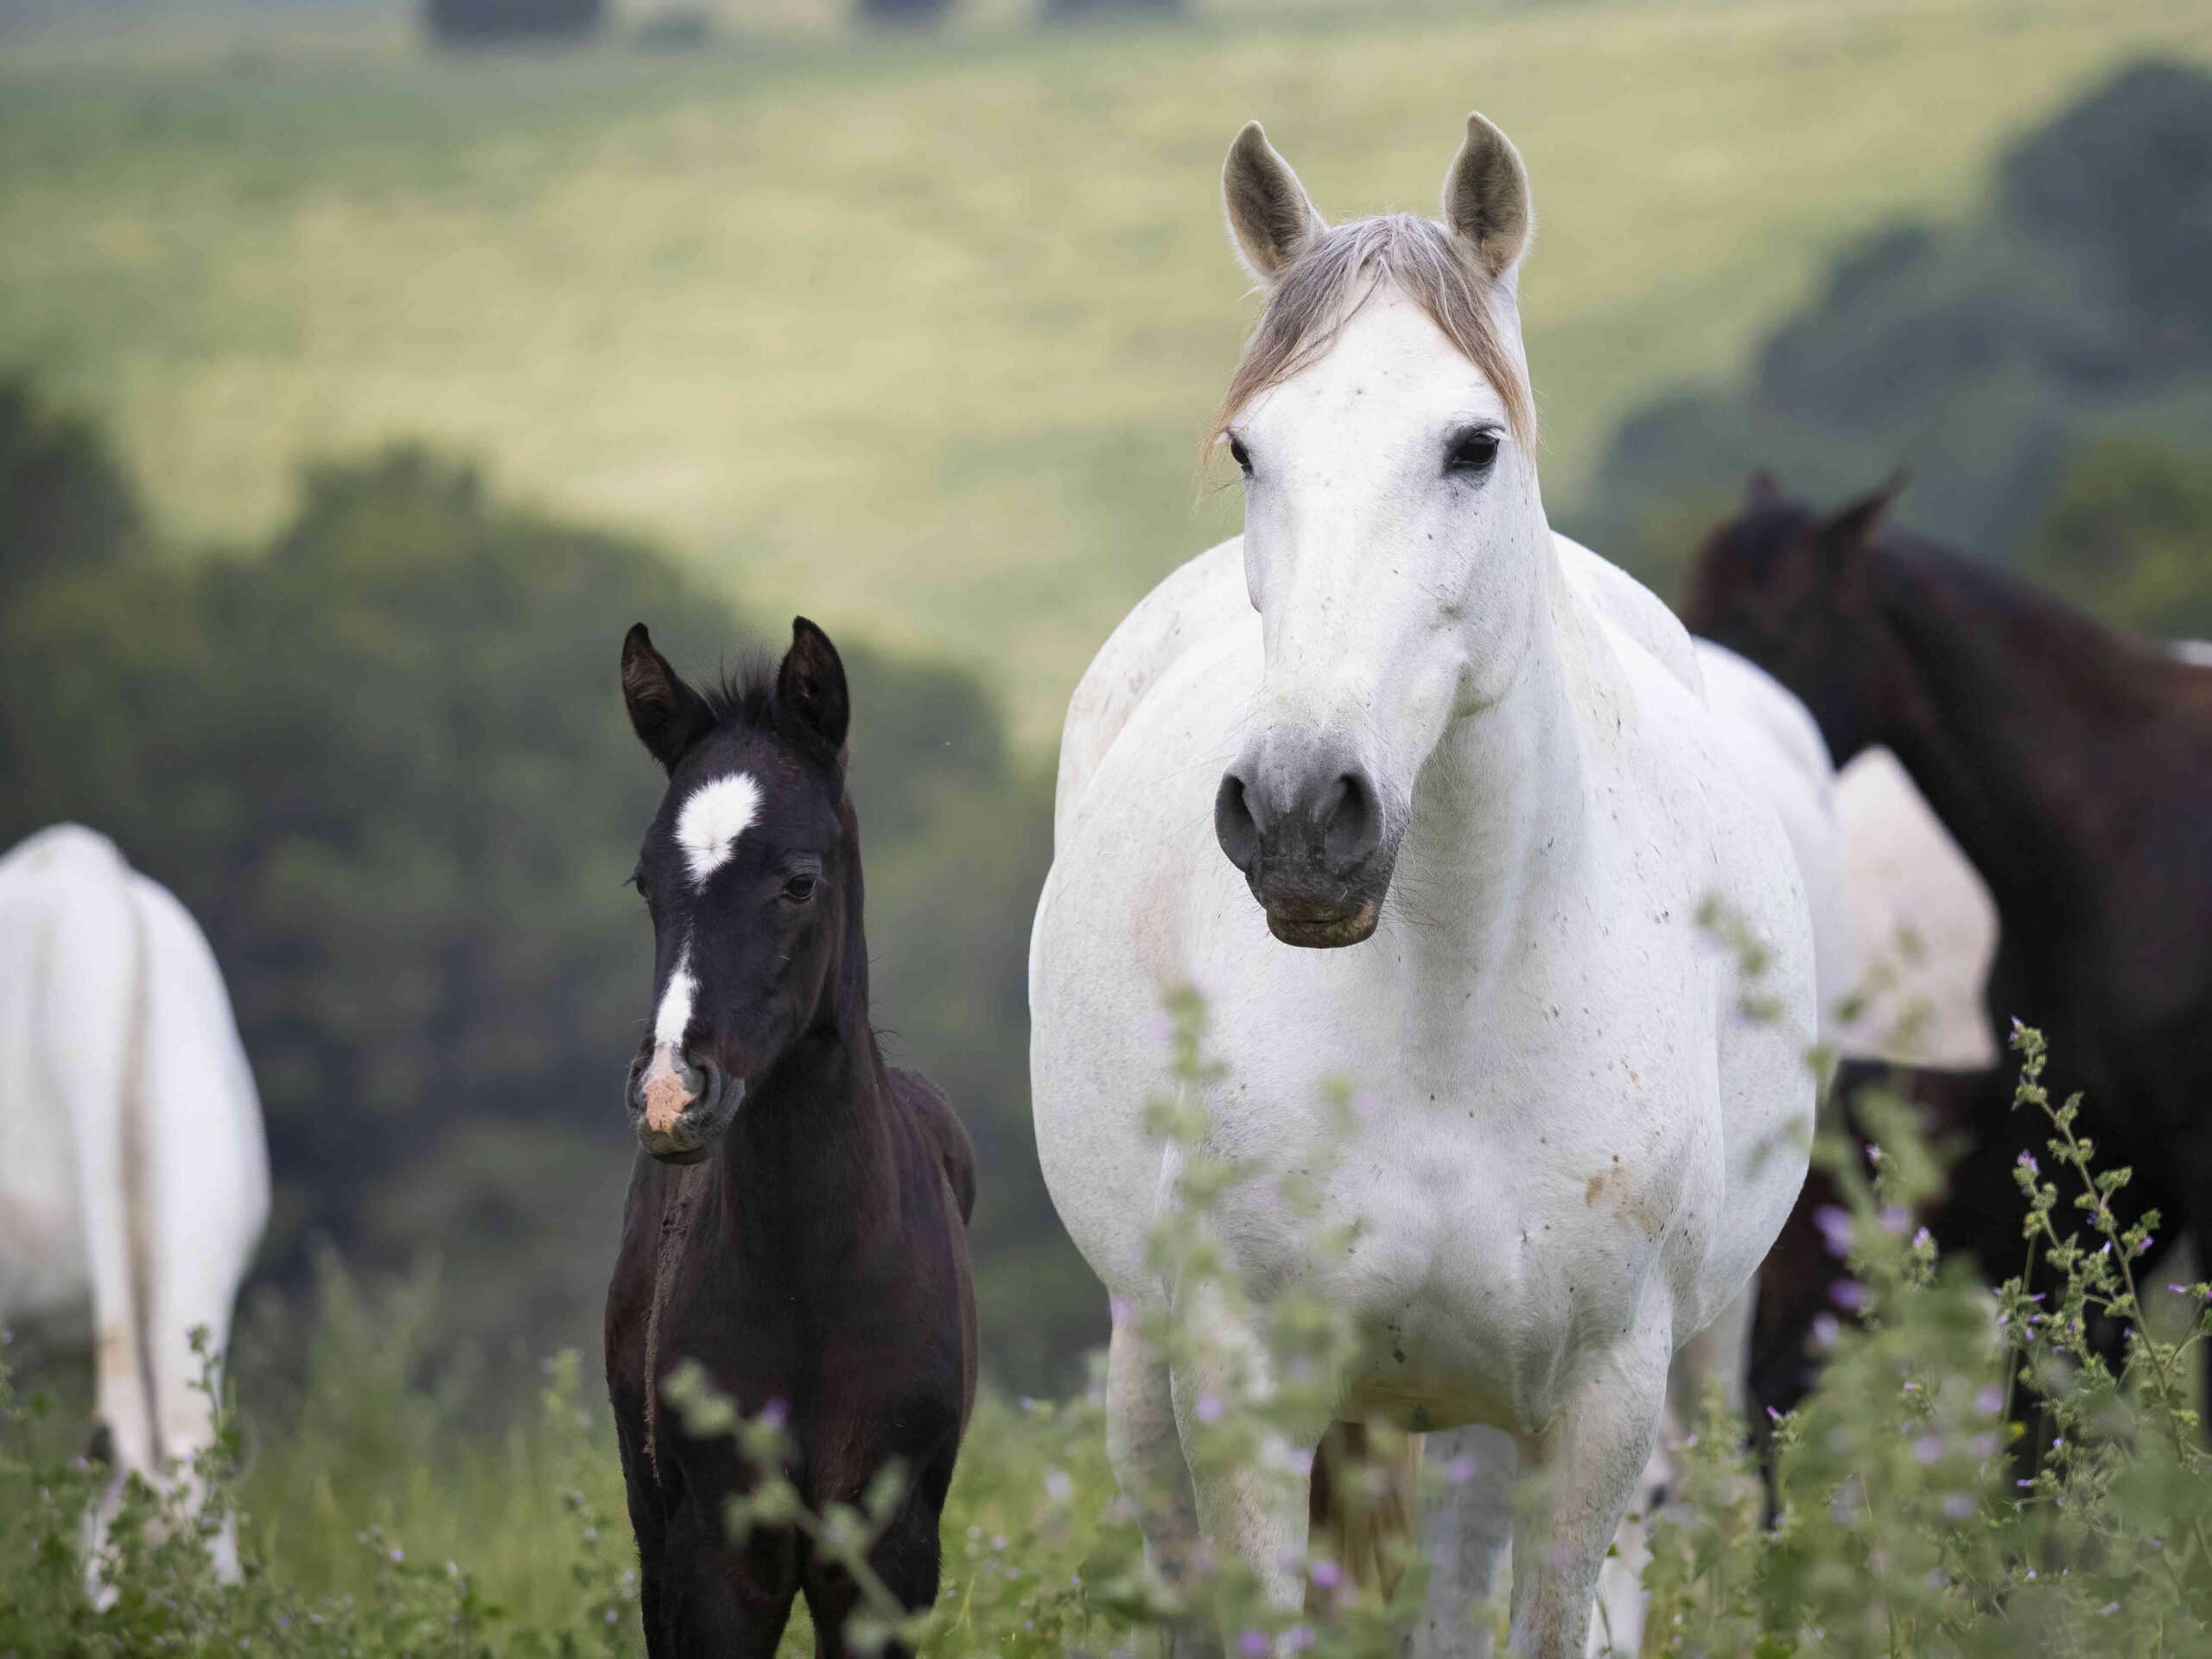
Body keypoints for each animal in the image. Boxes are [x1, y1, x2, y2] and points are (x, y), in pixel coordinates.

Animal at [603, 618, 978, 1659]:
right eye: (645, 882)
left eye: (799, 882)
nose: (670, 1094)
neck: (814, 1276)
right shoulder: (719, 1554)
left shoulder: (886, 1552)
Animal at [1029, 113, 1817, 1659]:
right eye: (1250, 448)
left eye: (1473, 445)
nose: (1296, 813)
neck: (1452, 995)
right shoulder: (1249, 1389)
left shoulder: (1595, 1410)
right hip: (1155, 1362)